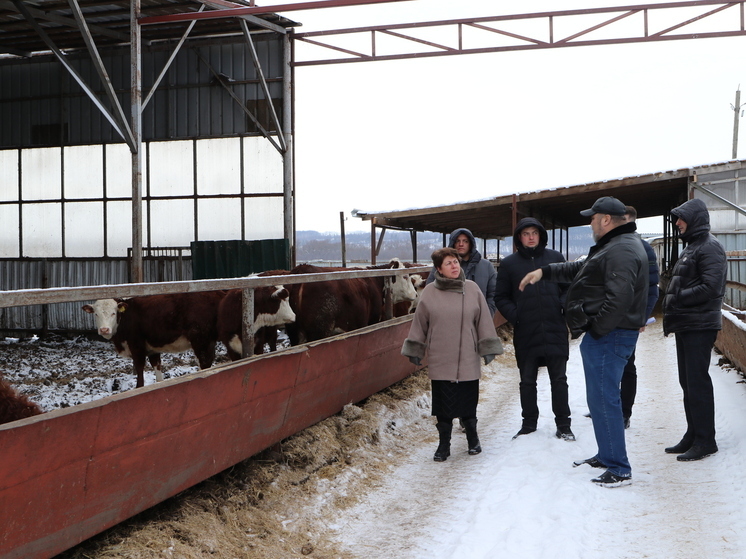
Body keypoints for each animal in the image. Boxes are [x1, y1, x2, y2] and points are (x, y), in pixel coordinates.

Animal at [81, 290, 225, 392]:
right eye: (96, 314)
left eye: (114, 313)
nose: (104, 329)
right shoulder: (152, 350)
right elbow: (158, 370)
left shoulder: (137, 347)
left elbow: (139, 371)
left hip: (202, 340)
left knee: (205, 363)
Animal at [284, 258, 416, 346]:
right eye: (405, 277)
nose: (415, 294)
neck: (374, 280)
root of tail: (302, 268)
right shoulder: (371, 320)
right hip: (319, 330)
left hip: (294, 332)